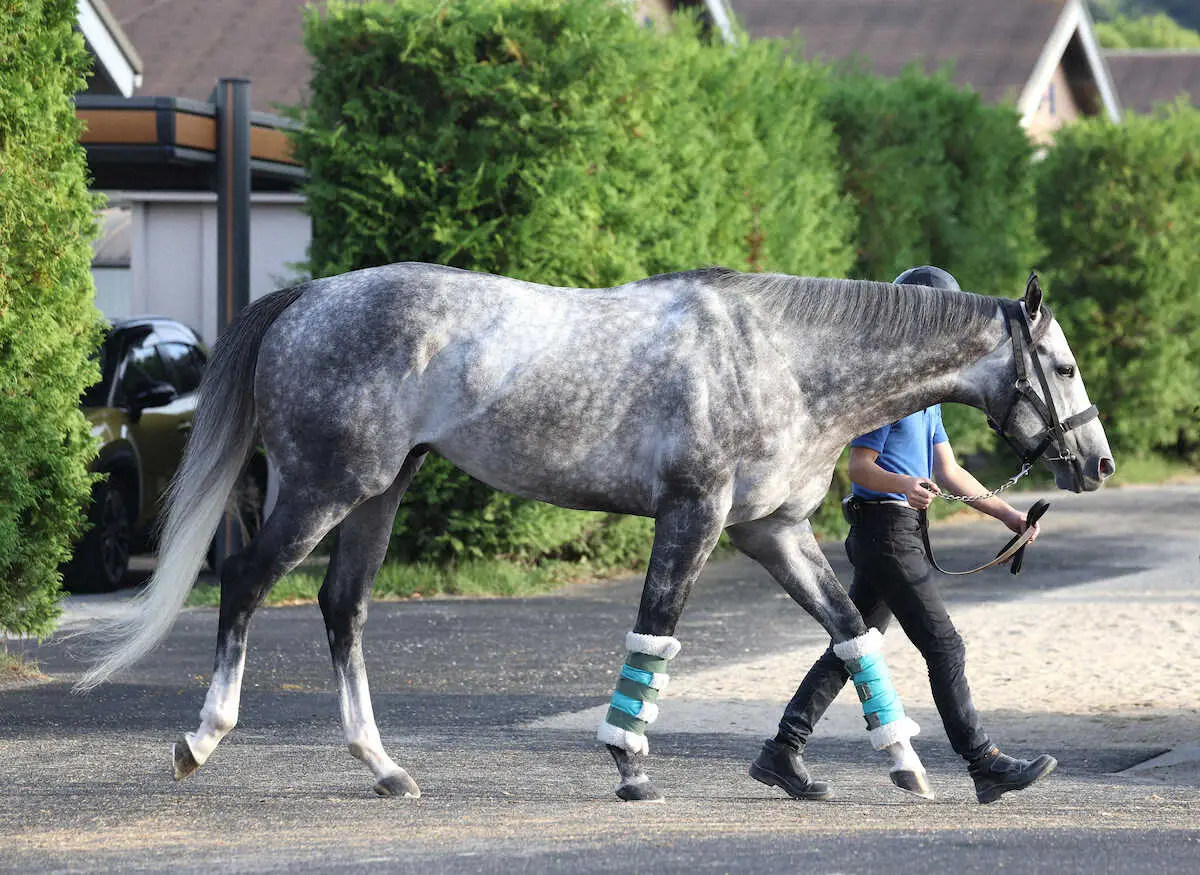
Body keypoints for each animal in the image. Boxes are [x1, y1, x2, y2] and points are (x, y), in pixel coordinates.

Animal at [79, 264, 1113, 796]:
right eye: (1061, 365)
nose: (1097, 462)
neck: (782, 355)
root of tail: (312, 296)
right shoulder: (695, 516)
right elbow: (655, 632)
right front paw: (628, 761)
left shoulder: (771, 530)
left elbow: (851, 631)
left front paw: (900, 762)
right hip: (324, 486)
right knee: (249, 583)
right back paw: (201, 739)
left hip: (377, 493)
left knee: (343, 607)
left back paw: (384, 766)